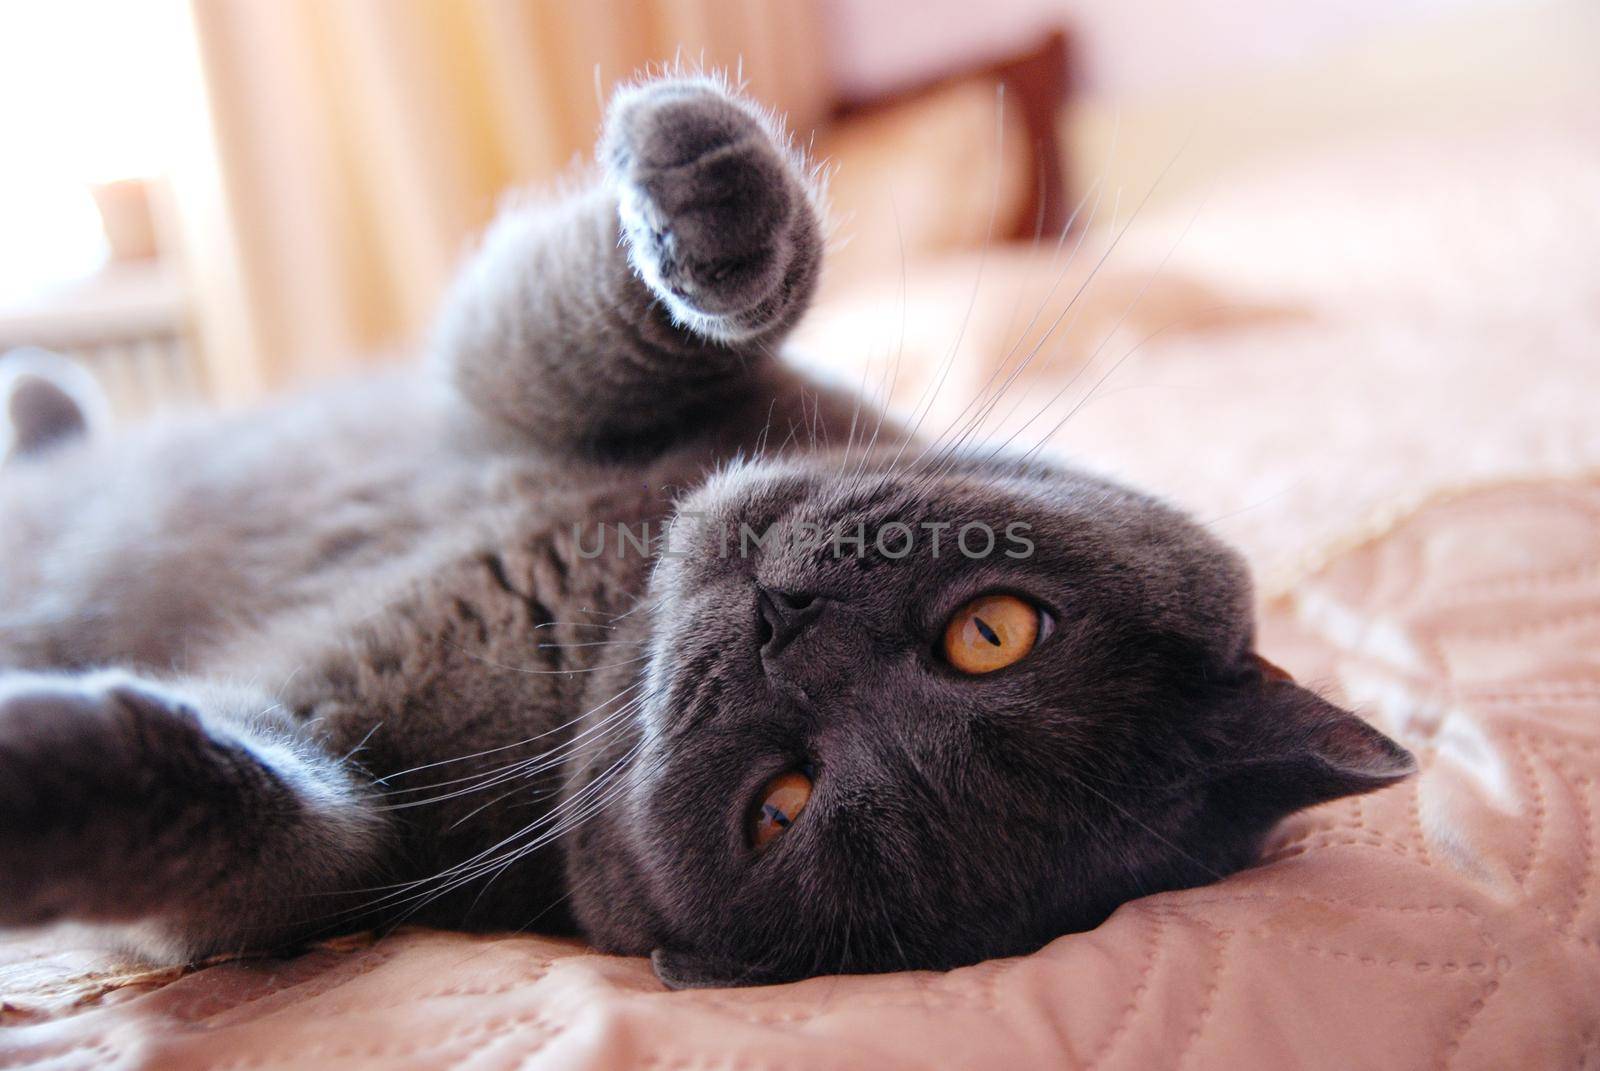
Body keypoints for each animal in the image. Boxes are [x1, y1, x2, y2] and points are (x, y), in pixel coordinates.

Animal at [0, 79, 1414, 992]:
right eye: (996, 632)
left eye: (778, 807)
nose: (785, 622)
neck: (603, 590)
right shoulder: (597, 400)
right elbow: (618, 323)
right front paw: (711, 184)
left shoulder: (371, 850)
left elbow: (272, 830)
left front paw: (48, 774)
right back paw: (44, 397)